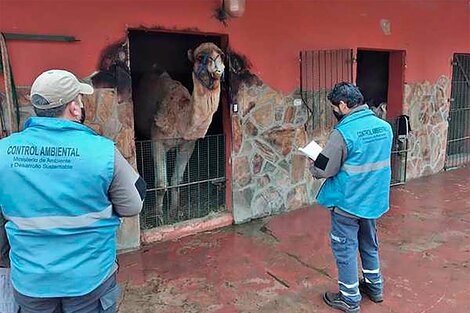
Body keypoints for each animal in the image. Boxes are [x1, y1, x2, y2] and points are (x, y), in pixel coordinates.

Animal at [134, 42, 226, 222]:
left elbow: (177, 180)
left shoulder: (188, 144)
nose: (218, 69)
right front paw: (158, 216)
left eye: (221, 54)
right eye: (200, 57)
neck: (182, 119)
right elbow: (161, 184)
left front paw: (174, 212)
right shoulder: (157, 140)